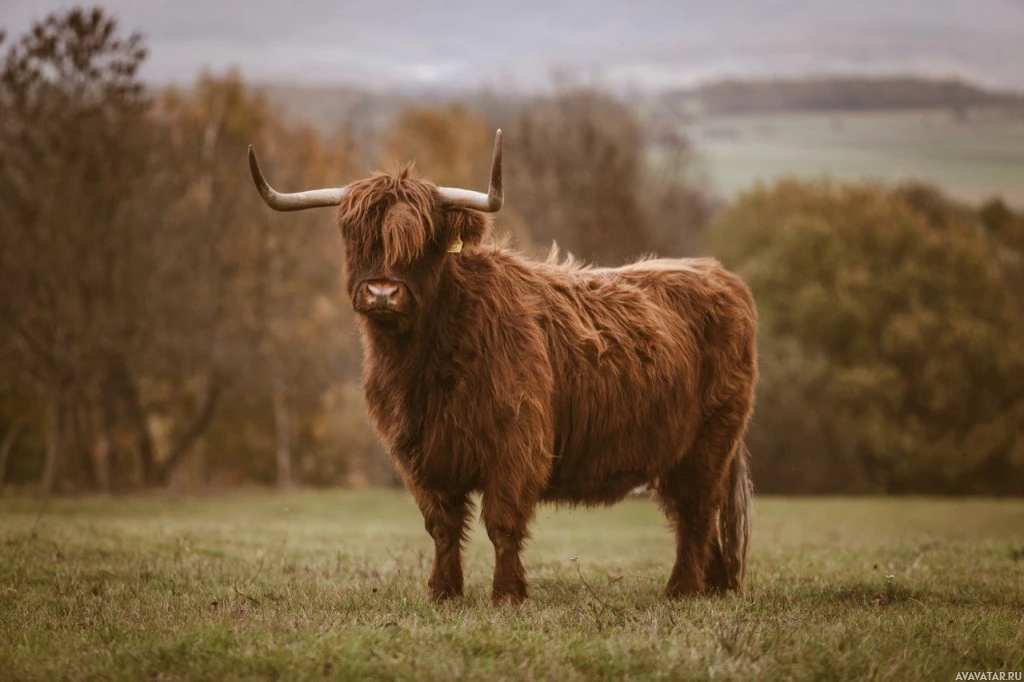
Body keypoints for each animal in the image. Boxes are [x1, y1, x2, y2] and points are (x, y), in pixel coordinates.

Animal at [248, 130, 757, 602]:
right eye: (356, 237)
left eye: (425, 241)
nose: (382, 293)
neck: (425, 361)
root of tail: (719, 274)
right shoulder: (419, 452)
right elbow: (442, 526)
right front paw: (443, 592)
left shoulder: (516, 442)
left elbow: (502, 522)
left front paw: (508, 594)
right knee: (696, 516)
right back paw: (714, 586)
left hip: (709, 442)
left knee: (697, 511)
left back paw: (682, 589)